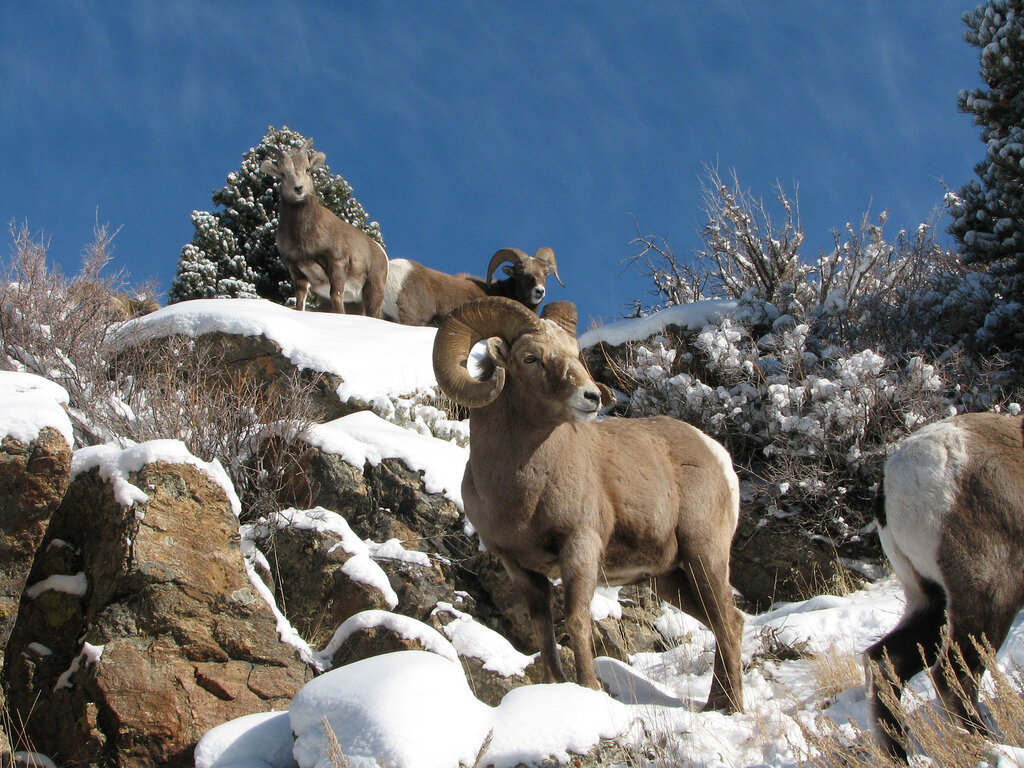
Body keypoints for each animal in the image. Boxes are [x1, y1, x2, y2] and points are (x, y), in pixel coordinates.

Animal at [432, 296, 745, 712]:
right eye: (531, 357)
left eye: (574, 354)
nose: (591, 397)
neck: (522, 494)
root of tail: (716, 454)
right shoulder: (519, 567)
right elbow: (544, 629)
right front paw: (555, 686)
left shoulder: (580, 546)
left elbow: (576, 620)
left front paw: (589, 691)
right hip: (670, 578)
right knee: (727, 622)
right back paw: (717, 706)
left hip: (704, 555)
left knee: (726, 623)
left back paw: (734, 708)